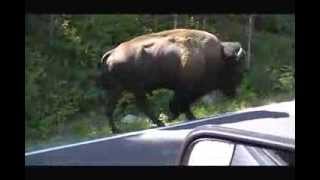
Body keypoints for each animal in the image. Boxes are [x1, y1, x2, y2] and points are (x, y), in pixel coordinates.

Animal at [96, 28, 246, 132]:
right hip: (131, 89)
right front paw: (176, 117)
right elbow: (179, 102)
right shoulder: (185, 88)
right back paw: (157, 123)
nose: (234, 92)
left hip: (120, 90)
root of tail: (112, 53)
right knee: (140, 105)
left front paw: (190, 117)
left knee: (112, 108)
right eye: (236, 68)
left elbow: (183, 104)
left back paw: (118, 130)